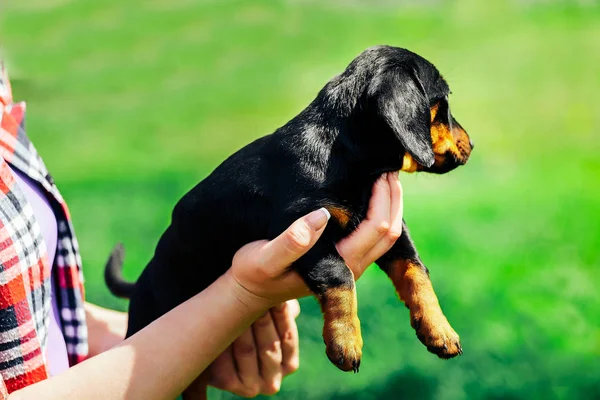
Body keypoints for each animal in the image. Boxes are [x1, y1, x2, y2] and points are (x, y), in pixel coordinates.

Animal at [106, 45, 474, 374]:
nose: (471, 144)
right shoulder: (303, 225)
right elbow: (340, 274)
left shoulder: (393, 231)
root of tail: (143, 279)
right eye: (444, 102)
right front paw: (345, 342)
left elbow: (415, 271)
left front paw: (440, 331)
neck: (342, 156)